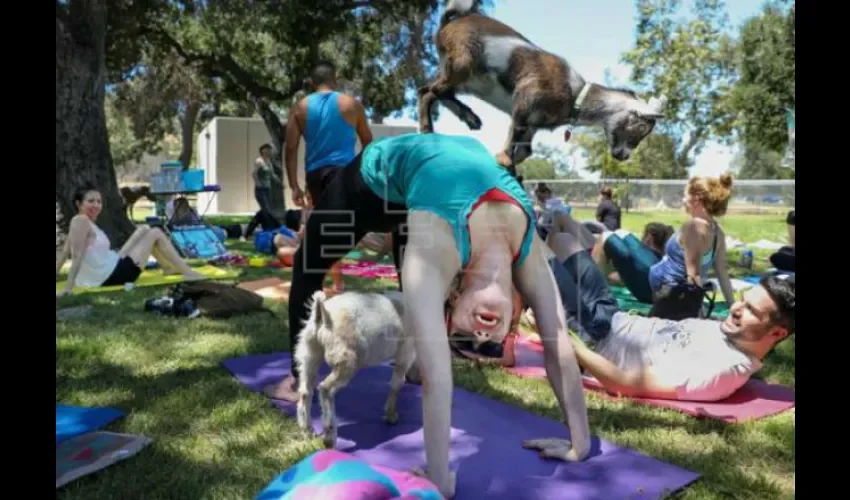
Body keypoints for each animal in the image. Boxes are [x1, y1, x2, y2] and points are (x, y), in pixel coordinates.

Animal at [292, 288, 414, 448]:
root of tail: (322, 314)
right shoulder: (405, 355)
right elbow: (396, 385)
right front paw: (391, 416)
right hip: (346, 362)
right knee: (325, 389)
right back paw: (329, 437)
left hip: (309, 354)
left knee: (306, 391)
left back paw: (307, 429)